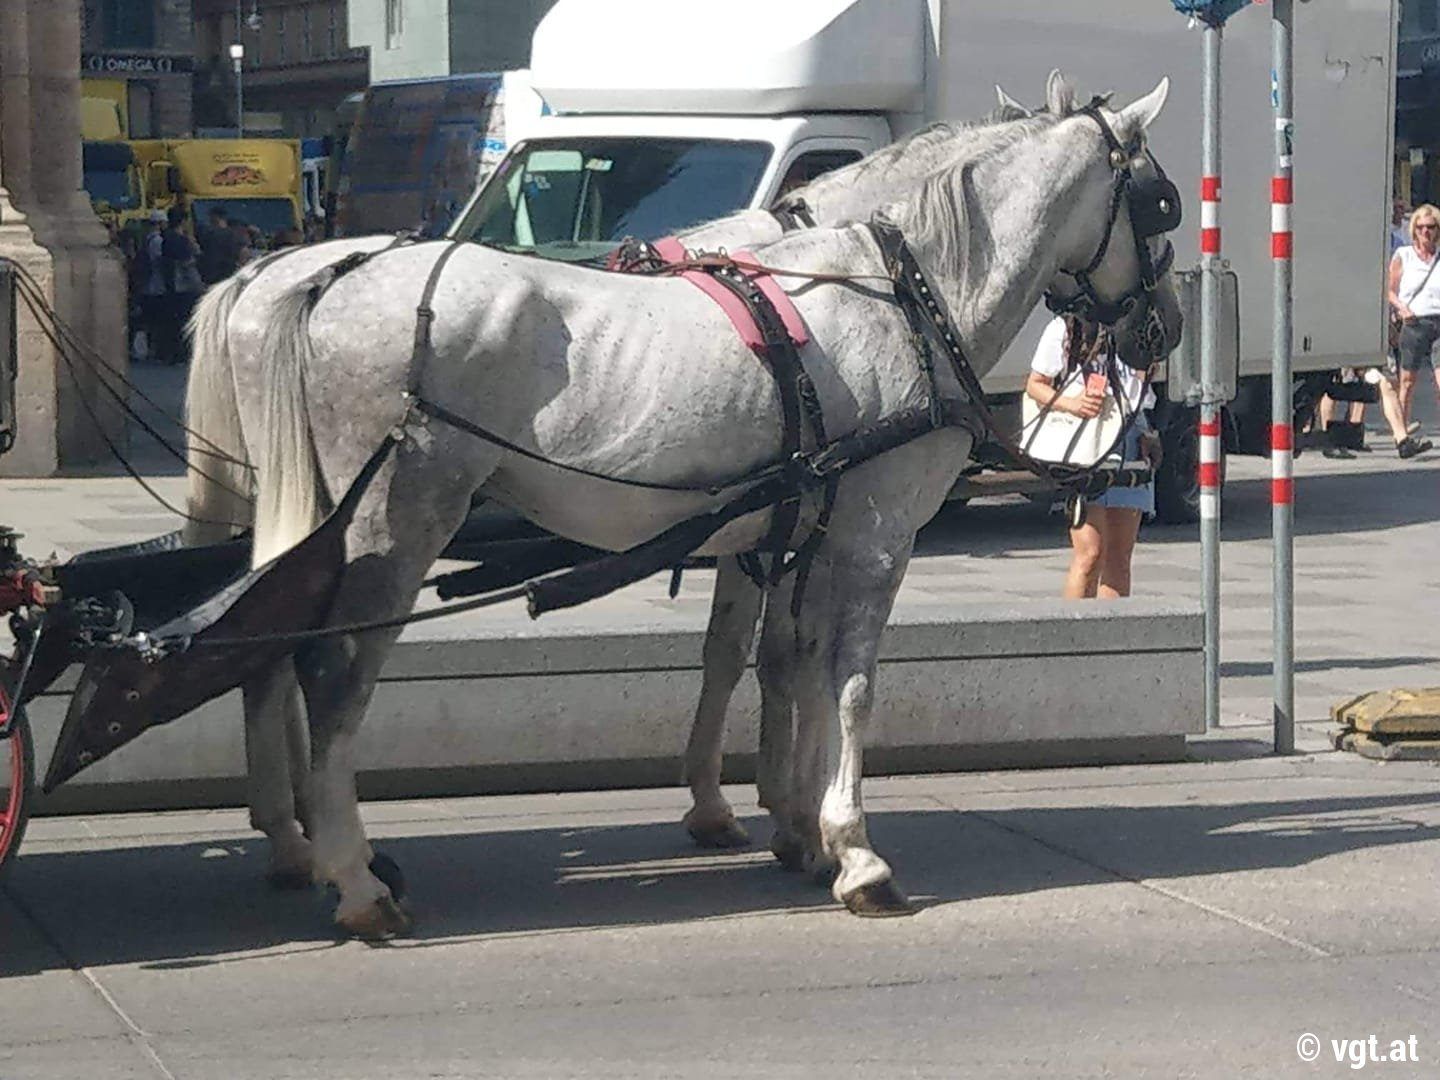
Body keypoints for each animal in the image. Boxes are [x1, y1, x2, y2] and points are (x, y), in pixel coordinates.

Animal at [191, 76, 1180, 938]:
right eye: (1164, 206)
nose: (1163, 327)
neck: (905, 293)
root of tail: (317, 277)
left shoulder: (790, 529)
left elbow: (783, 662)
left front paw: (797, 827)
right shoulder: (871, 532)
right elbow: (846, 681)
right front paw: (852, 851)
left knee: (265, 651)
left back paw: (308, 848)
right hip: (396, 521)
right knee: (330, 672)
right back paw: (353, 876)